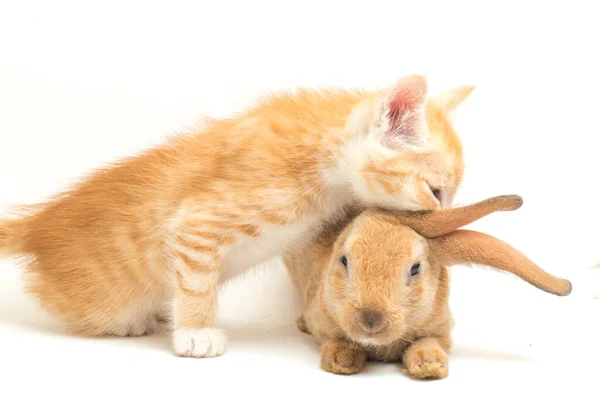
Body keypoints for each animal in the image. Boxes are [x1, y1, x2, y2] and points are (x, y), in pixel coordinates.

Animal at [0, 76, 474, 360]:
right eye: (435, 190)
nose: (447, 215)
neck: (322, 158)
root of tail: (35, 226)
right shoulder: (197, 220)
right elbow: (195, 281)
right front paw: (196, 332)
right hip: (99, 303)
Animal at [282, 195, 572, 380]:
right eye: (343, 260)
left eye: (415, 268)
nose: (370, 320)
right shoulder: (322, 321)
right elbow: (334, 339)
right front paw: (341, 362)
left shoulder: (441, 331)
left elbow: (428, 343)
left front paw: (429, 366)